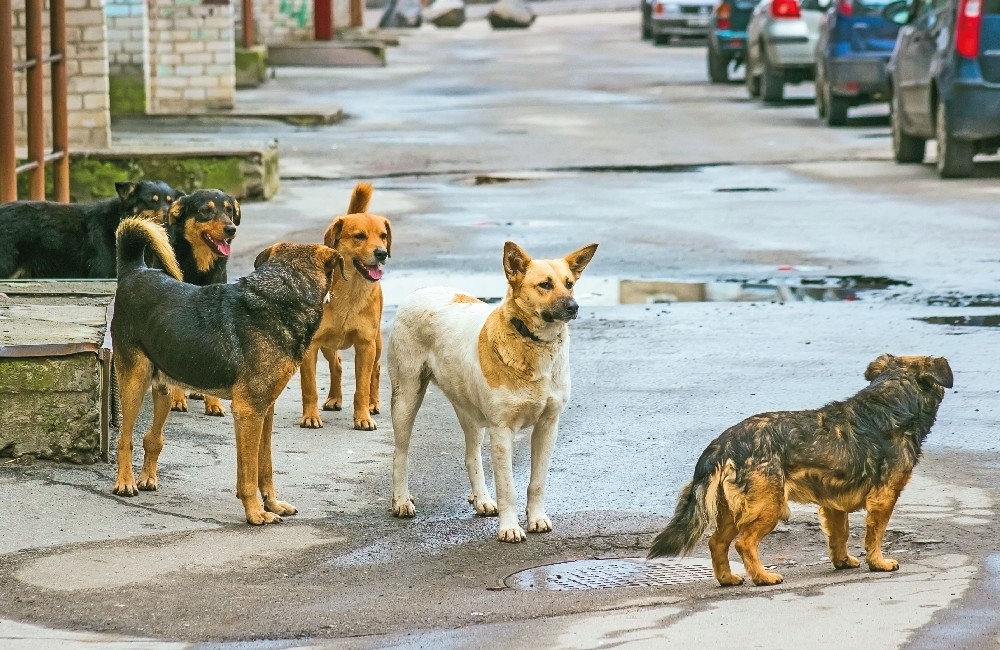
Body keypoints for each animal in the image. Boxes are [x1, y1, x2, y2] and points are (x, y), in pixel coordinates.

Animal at [112, 216, 346, 520]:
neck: (283, 293)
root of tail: (134, 271)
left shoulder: (265, 410)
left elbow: (264, 466)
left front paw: (272, 504)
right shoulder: (248, 411)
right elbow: (249, 474)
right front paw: (256, 514)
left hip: (164, 388)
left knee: (152, 437)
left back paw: (147, 478)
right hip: (134, 382)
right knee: (124, 438)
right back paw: (125, 482)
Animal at [162, 187, 244, 416]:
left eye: (229, 210)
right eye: (206, 210)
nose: (231, 229)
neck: (199, 266)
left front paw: (213, 403)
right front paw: (177, 399)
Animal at [648, 352, 952, 584]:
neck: (891, 402)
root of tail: (723, 443)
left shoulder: (833, 504)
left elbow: (840, 535)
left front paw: (842, 561)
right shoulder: (884, 497)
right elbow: (875, 534)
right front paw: (878, 563)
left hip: (733, 510)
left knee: (717, 543)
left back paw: (728, 579)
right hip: (768, 505)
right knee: (744, 543)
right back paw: (763, 577)